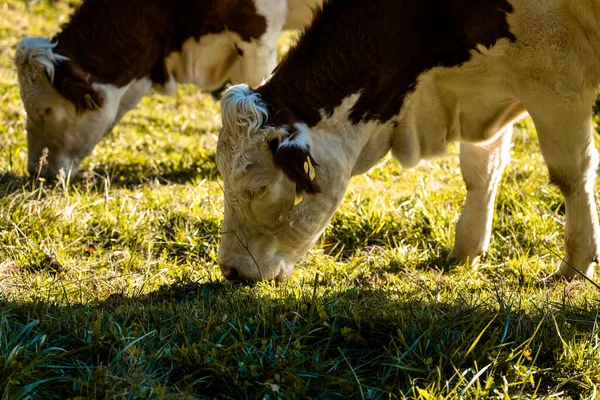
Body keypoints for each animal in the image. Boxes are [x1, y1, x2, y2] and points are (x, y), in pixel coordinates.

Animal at [218, 0, 600, 282]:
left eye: (258, 189)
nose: (231, 269)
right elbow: (481, 171)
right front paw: (465, 251)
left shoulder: (553, 71)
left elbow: (571, 174)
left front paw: (575, 265)